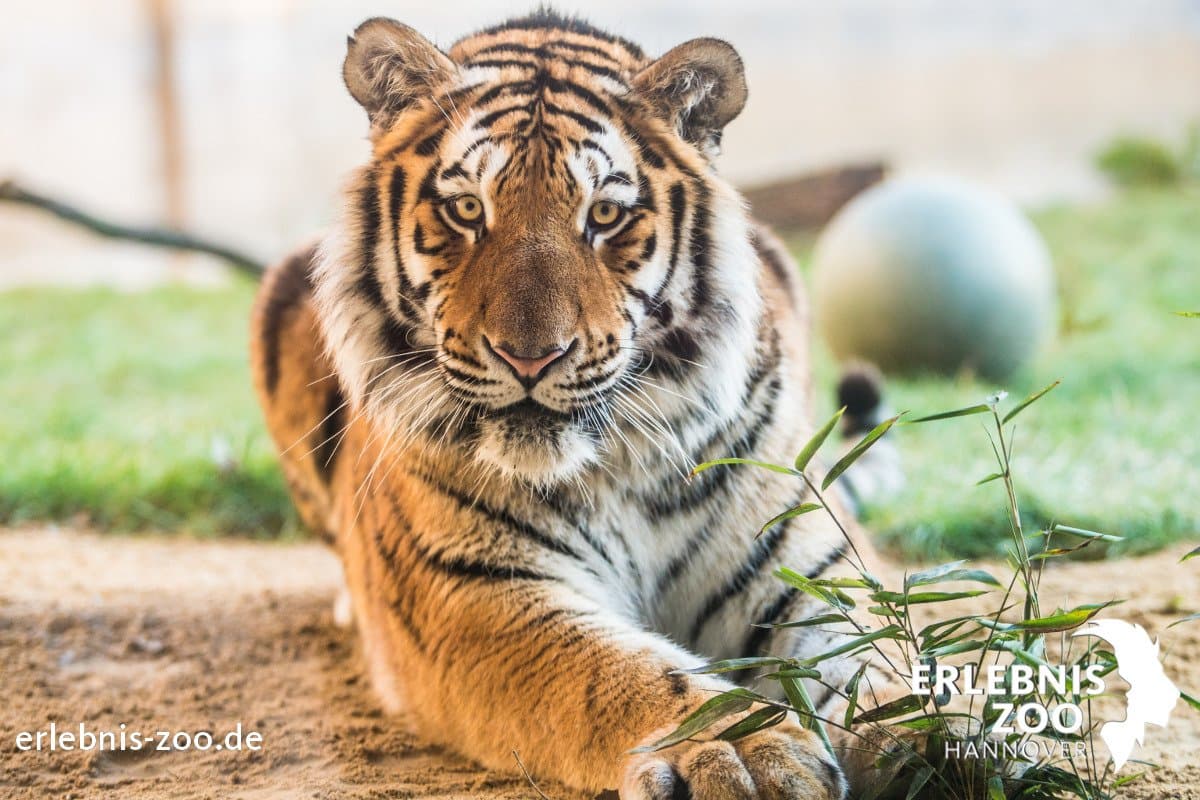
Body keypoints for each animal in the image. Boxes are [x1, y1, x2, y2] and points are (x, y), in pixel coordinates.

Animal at [250, 11, 910, 799]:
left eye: (605, 214)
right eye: (466, 209)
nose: (530, 356)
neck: (616, 467)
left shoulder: (804, 566)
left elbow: (882, 657)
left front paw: (946, 737)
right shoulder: (477, 596)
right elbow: (623, 674)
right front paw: (745, 751)